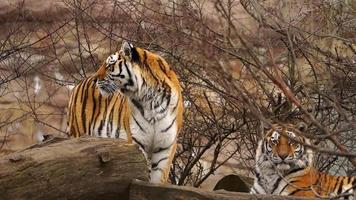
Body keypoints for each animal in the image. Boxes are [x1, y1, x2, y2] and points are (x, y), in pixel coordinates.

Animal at [67, 40, 184, 183]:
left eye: (109, 65)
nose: (95, 79)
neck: (151, 100)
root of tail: (78, 84)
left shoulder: (165, 147)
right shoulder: (136, 142)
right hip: (78, 133)